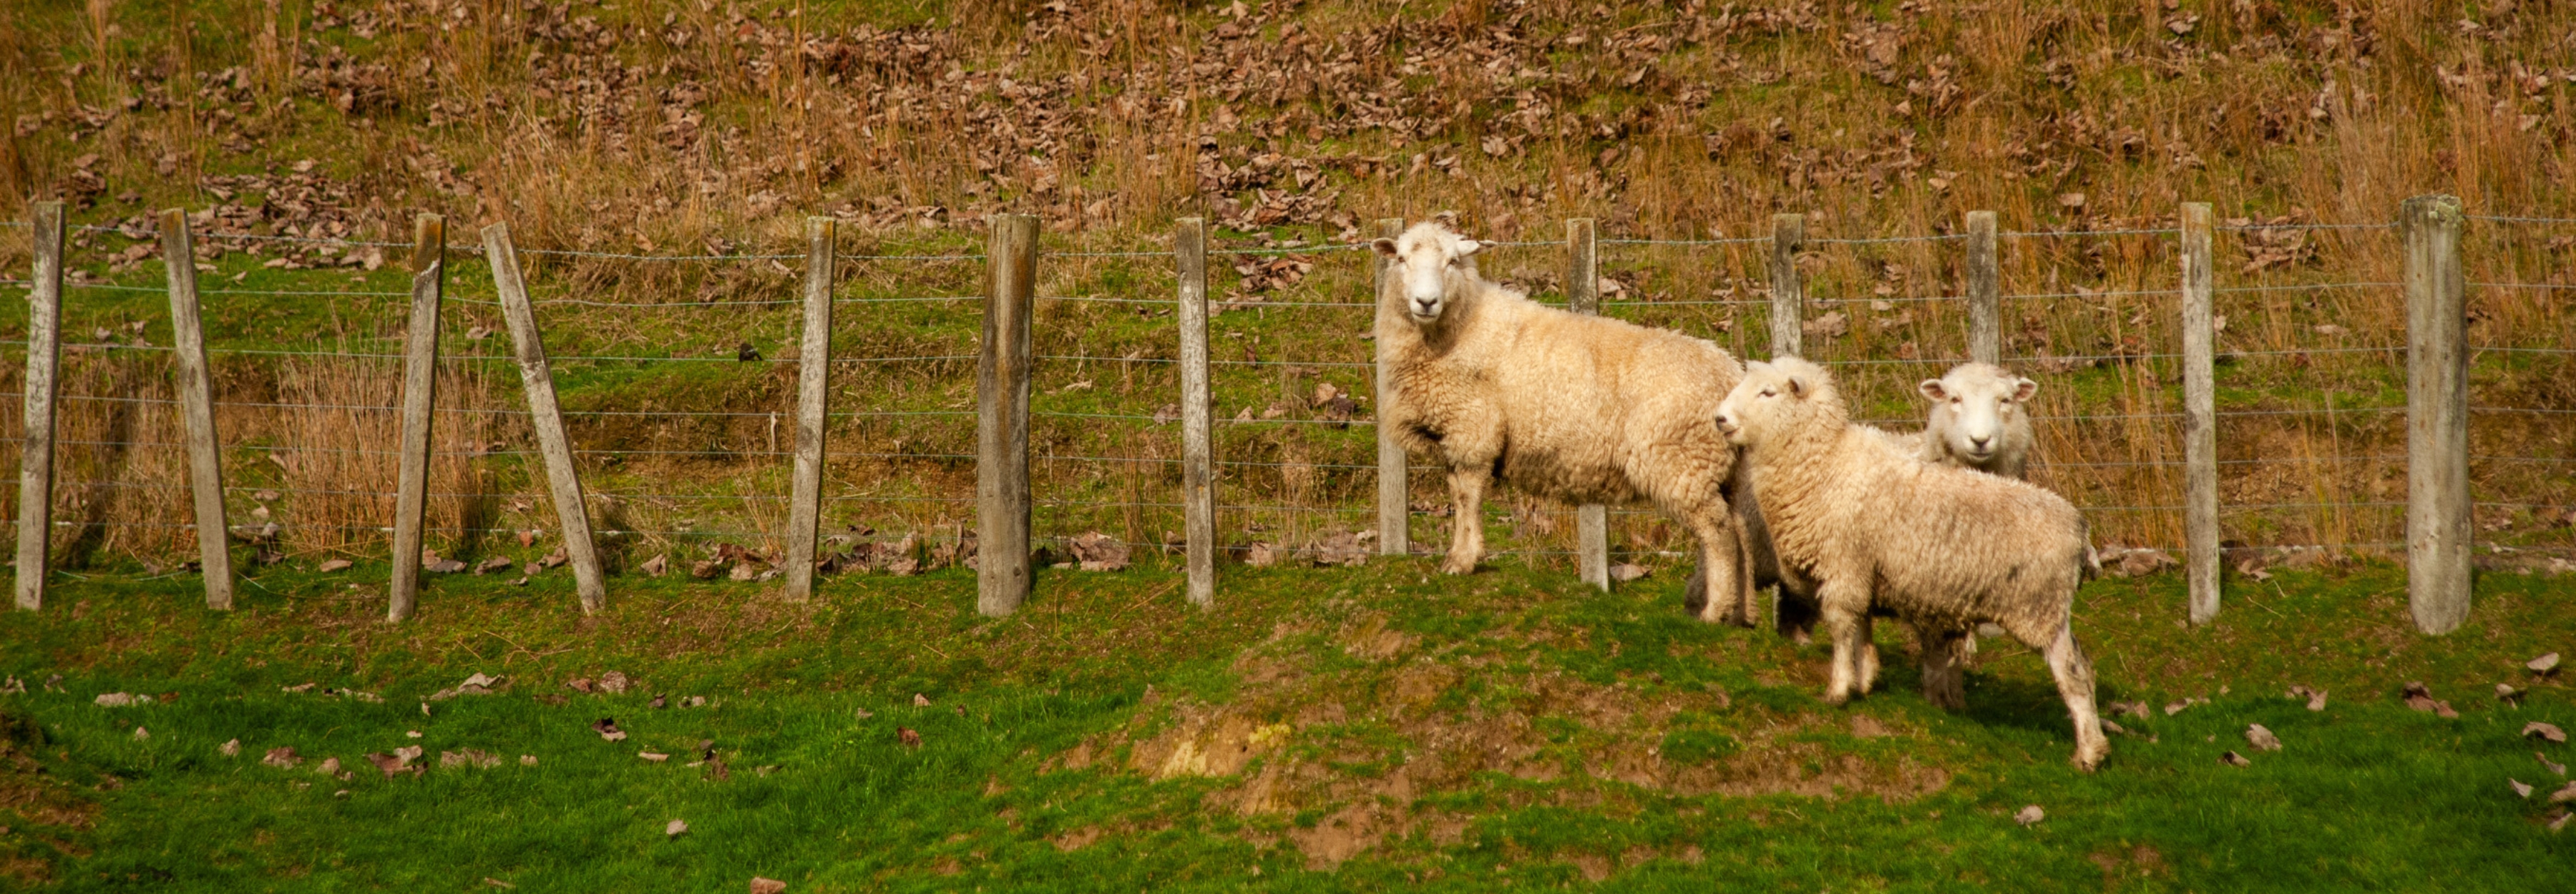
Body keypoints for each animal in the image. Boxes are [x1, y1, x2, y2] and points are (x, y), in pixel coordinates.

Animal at [1372, 221, 1756, 625]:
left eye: (1452, 261)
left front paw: (1463, 560)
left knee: (1718, 532)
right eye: (1401, 259)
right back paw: (1743, 612)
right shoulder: (1454, 435)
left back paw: (1715, 611)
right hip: (1722, 468)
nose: (1426, 303)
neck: (1463, 326)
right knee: (1741, 529)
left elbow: (1467, 497)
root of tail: (1729, 371)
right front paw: (1459, 555)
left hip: (1682, 463)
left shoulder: (1473, 431)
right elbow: (1457, 494)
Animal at [1712, 357, 2108, 770]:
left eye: (1768, 392)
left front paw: (1839, 689)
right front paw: (1865, 679)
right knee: (2087, 670)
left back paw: (2088, 755)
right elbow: (1863, 626)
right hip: (2049, 608)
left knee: (2072, 676)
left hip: (2040, 608)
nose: (1720, 419)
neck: (1824, 462)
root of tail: (2081, 531)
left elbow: (1842, 627)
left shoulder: (1844, 563)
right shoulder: (1863, 568)